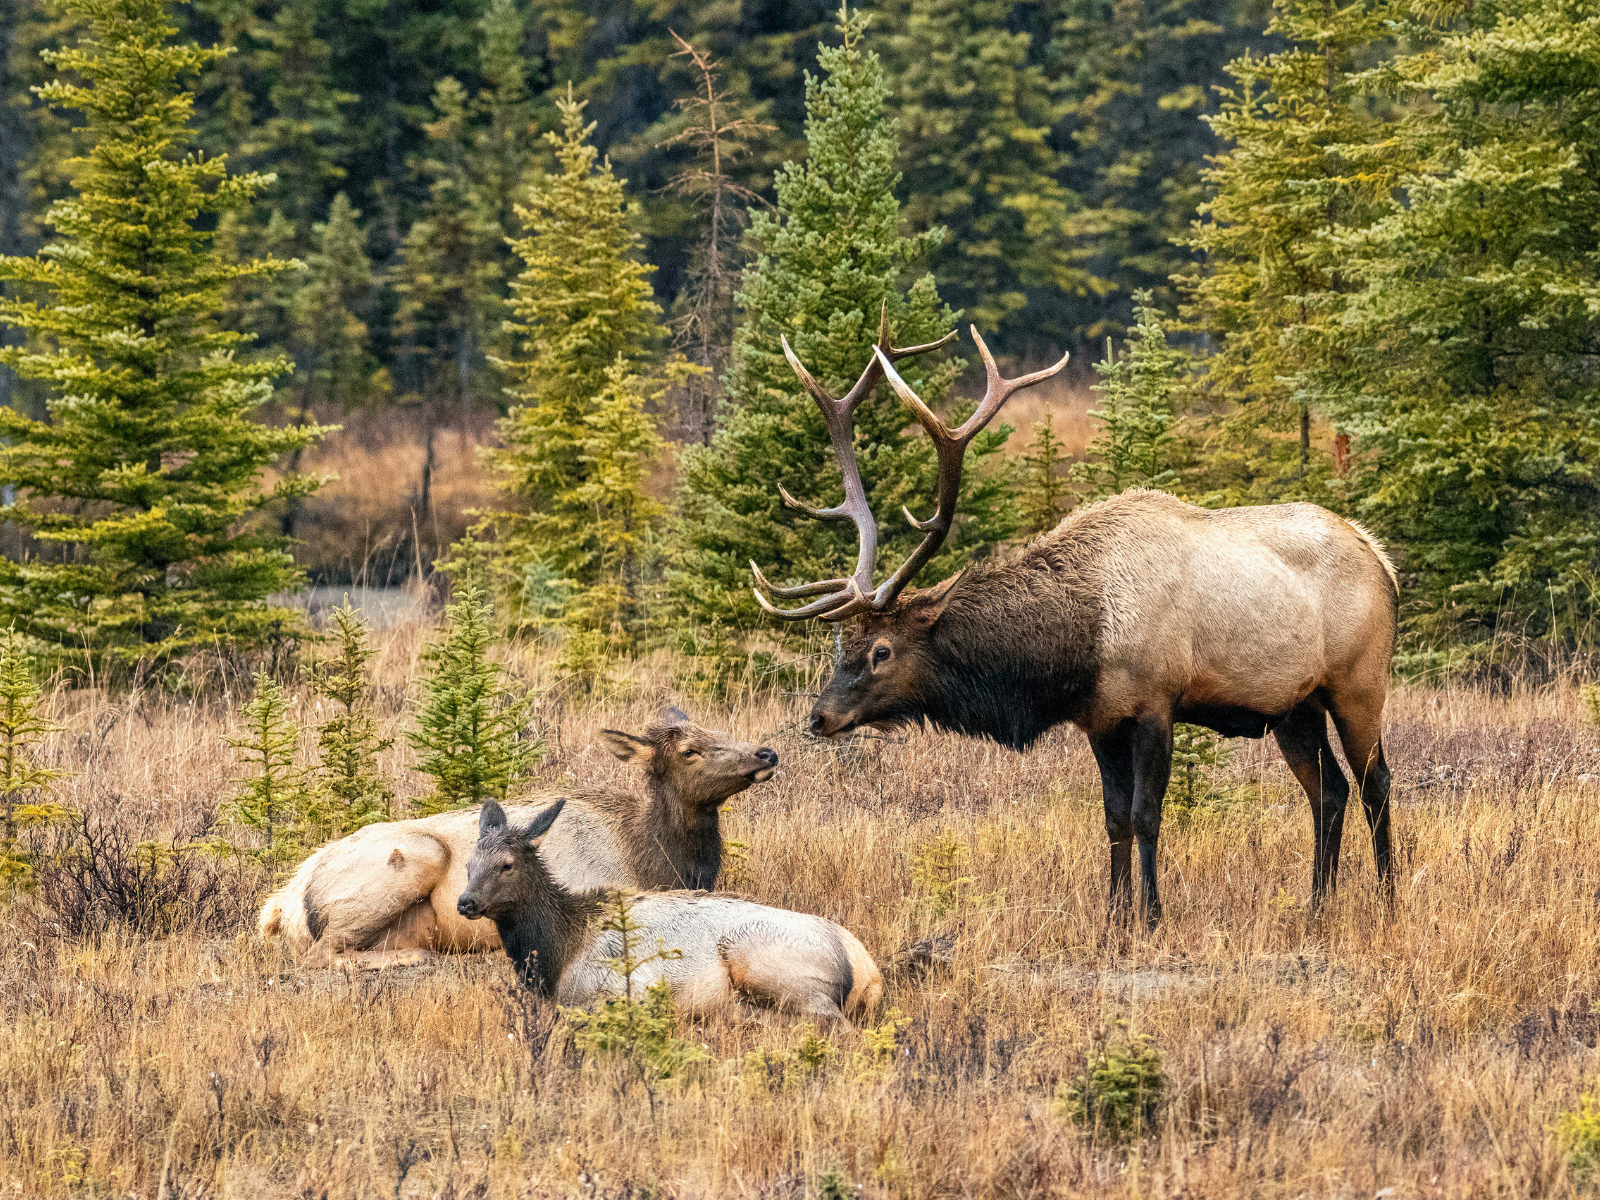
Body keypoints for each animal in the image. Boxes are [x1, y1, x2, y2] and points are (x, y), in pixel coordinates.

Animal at [258, 708, 779, 968]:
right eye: (690, 751)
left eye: (718, 729)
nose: (766, 752)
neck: (659, 859)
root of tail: (284, 904)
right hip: (418, 857)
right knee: (321, 955)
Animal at [459, 799, 883, 1023]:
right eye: (468, 865)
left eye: (506, 865)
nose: (465, 902)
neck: (557, 953)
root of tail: (867, 968)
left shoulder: (622, 988)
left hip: (761, 959)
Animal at [752, 314, 1398, 926]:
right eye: (842, 643)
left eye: (882, 650)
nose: (819, 717)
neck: (1079, 645)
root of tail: (1382, 560)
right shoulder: (1100, 719)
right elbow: (1113, 819)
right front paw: (1113, 916)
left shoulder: (1156, 701)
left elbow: (1146, 815)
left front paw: (1152, 918)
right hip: (1293, 705)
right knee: (1330, 792)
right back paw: (1318, 904)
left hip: (1359, 683)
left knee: (1375, 784)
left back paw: (1388, 901)